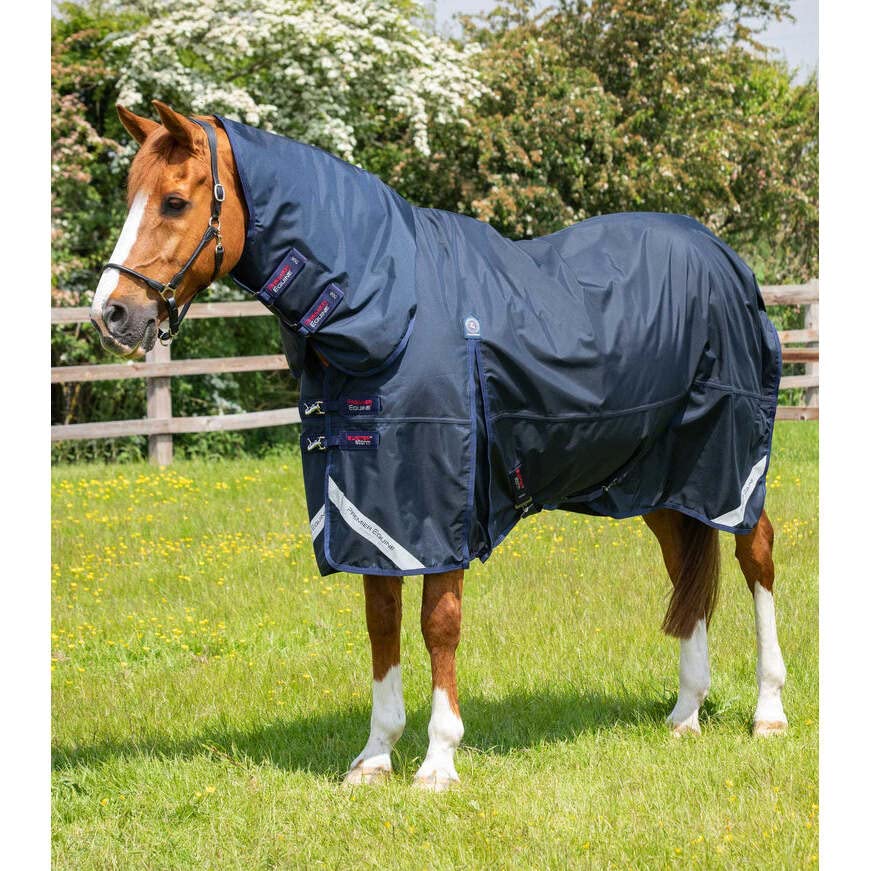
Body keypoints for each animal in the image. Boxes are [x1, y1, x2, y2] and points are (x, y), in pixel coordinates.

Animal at [89, 101, 788, 791]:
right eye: (130, 195)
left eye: (175, 201)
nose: (111, 315)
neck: (392, 308)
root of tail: (725, 257)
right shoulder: (369, 511)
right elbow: (382, 624)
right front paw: (374, 758)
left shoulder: (441, 507)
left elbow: (437, 625)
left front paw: (438, 761)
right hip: (664, 483)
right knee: (684, 571)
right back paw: (685, 714)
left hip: (730, 465)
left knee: (755, 551)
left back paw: (768, 712)